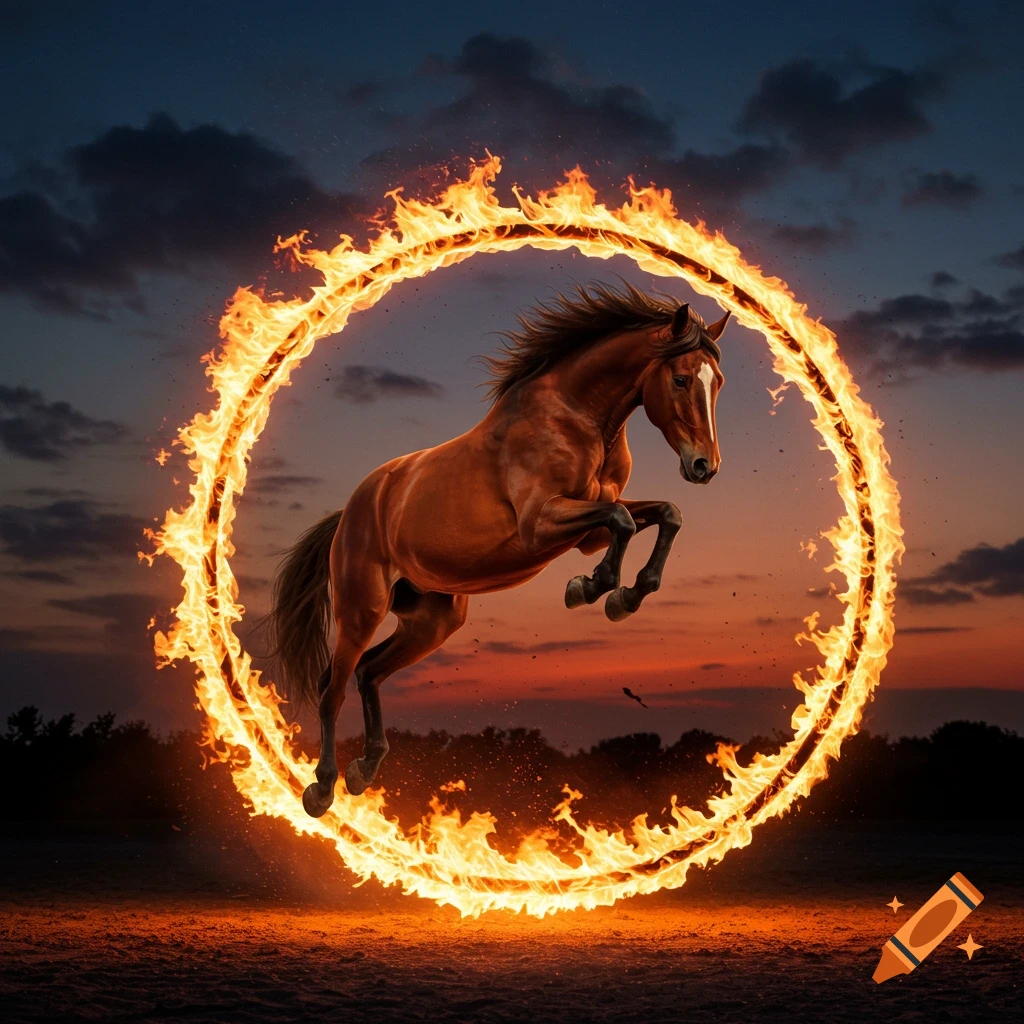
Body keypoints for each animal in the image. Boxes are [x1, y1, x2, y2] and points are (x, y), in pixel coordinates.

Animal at [265, 281, 729, 818]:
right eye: (680, 379)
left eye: (717, 382)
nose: (705, 466)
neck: (577, 420)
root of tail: (350, 513)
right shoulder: (540, 524)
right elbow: (623, 520)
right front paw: (591, 588)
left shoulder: (587, 531)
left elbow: (662, 514)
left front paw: (623, 597)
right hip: (362, 610)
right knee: (331, 688)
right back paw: (322, 788)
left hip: (433, 620)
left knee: (368, 673)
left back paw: (365, 769)